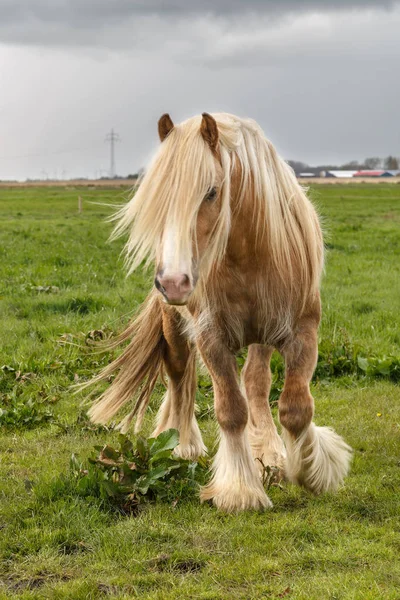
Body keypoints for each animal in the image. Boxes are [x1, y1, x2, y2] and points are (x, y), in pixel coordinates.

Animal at [87, 111, 350, 510]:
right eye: (158, 199)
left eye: (211, 192)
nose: (174, 282)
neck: (248, 254)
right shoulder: (211, 336)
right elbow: (230, 411)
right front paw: (240, 489)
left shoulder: (302, 332)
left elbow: (295, 407)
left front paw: (313, 471)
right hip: (176, 329)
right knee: (179, 378)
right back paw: (183, 444)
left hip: (261, 336)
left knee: (256, 382)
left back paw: (269, 451)